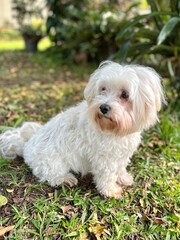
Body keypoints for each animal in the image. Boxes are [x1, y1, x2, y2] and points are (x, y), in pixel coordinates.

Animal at [0, 60, 166, 199]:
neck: (114, 130)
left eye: (125, 94)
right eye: (103, 89)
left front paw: (123, 177)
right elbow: (106, 176)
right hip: (52, 161)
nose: (103, 107)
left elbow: (120, 168)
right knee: (48, 174)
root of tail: (25, 146)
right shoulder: (104, 159)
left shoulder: (120, 155)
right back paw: (64, 179)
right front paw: (111, 190)